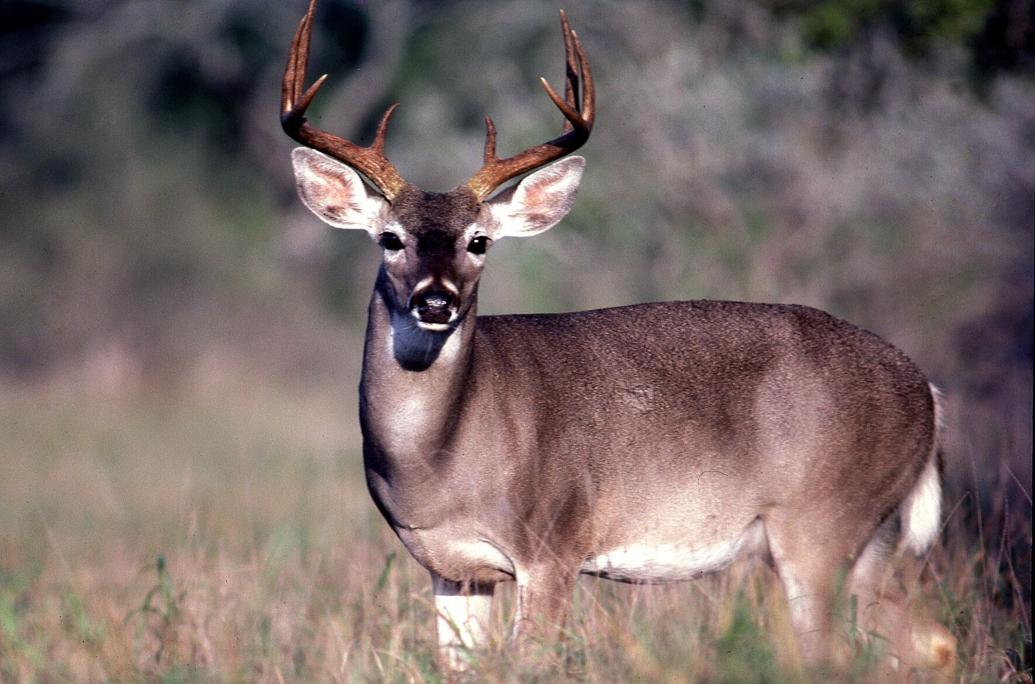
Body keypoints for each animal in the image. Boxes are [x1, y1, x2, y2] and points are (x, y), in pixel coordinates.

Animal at [280, 0, 957, 676]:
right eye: (390, 238)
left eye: (480, 241)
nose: (436, 300)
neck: (441, 458)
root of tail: (927, 391)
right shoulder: (453, 569)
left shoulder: (553, 543)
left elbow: (534, 661)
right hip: (870, 537)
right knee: (926, 641)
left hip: (821, 520)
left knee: (837, 651)